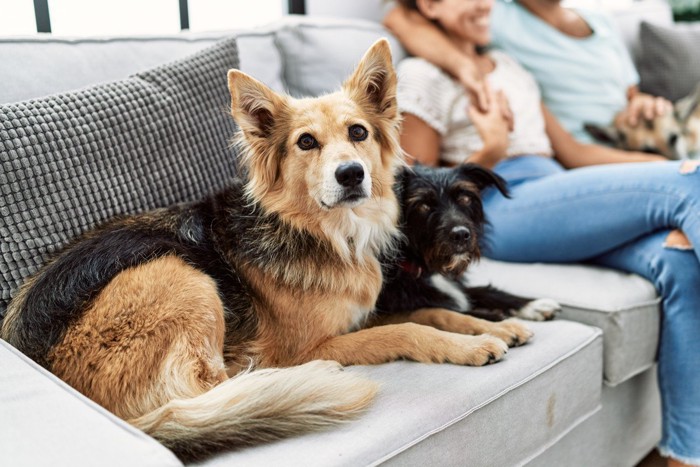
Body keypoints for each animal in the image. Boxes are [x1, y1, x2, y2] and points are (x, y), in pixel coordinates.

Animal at [0, 41, 516, 464]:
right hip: (181, 276)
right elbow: (408, 328)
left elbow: (432, 311)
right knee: (225, 388)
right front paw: (471, 346)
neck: (327, 234)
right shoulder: (313, 343)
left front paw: (497, 326)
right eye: (306, 142)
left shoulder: (360, 315)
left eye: (359, 133)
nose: (352, 174)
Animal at [374, 165, 560, 326]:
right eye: (423, 206)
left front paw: (533, 304)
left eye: (465, 198)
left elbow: (484, 290)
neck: (426, 270)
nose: (461, 235)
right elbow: (445, 310)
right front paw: (496, 317)